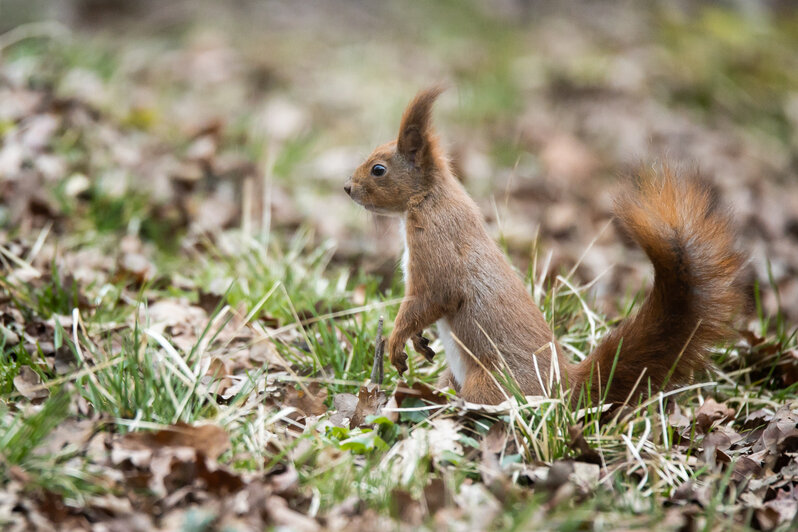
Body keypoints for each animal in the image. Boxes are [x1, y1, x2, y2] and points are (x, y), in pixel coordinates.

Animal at [344, 87, 752, 406]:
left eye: (378, 169)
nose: (347, 188)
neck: (429, 198)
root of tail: (567, 389)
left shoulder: (437, 250)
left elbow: (430, 298)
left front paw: (396, 342)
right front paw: (417, 343)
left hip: (491, 385)